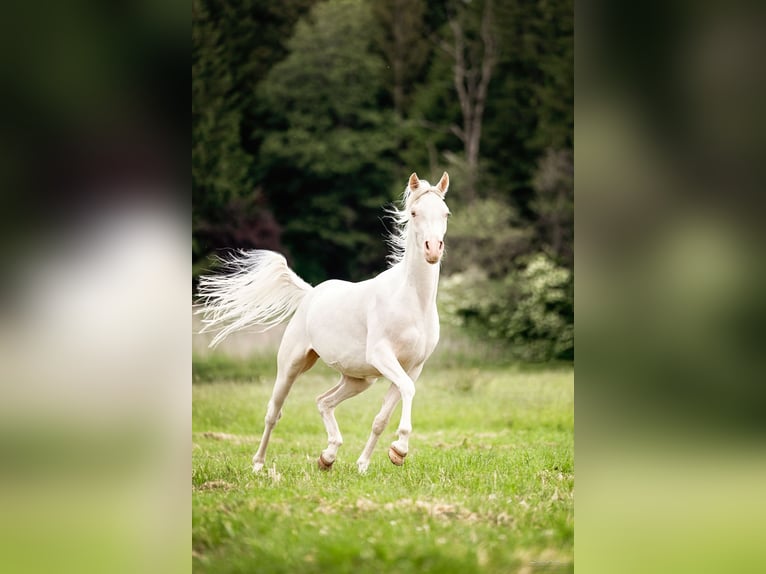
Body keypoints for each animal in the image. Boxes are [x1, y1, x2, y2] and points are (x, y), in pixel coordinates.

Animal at [198, 172, 452, 476]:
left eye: (445, 213)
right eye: (414, 213)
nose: (433, 250)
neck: (412, 301)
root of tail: (310, 293)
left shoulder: (413, 367)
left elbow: (382, 416)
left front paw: (370, 463)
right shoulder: (382, 356)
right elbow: (406, 392)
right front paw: (400, 448)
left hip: (359, 380)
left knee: (323, 401)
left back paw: (327, 456)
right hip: (291, 366)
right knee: (274, 413)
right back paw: (259, 464)